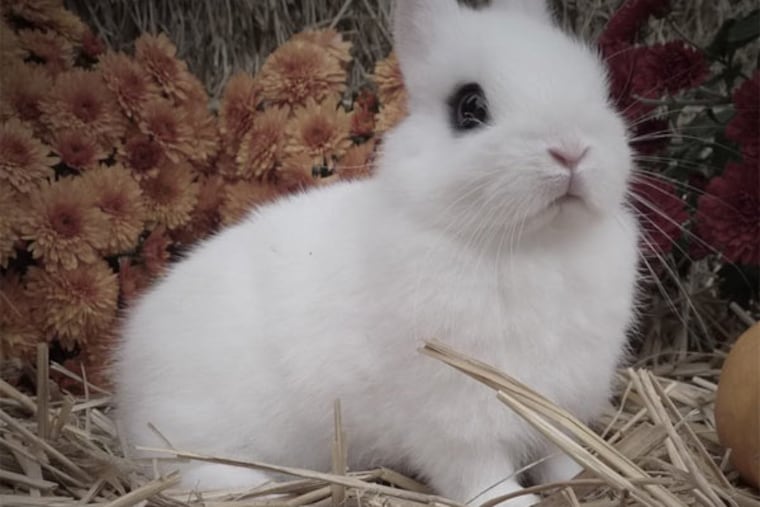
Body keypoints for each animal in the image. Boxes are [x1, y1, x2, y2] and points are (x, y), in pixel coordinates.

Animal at [113, 0, 640, 505]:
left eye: (600, 89)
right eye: (469, 107)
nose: (571, 149)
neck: (538, 246)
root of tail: (125, 372)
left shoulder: (558, 408)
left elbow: (561, 459)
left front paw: (584, 484)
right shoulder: (455, 421)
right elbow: (481, 478)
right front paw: (516, 504)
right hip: (190, 433)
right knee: (182, 470)